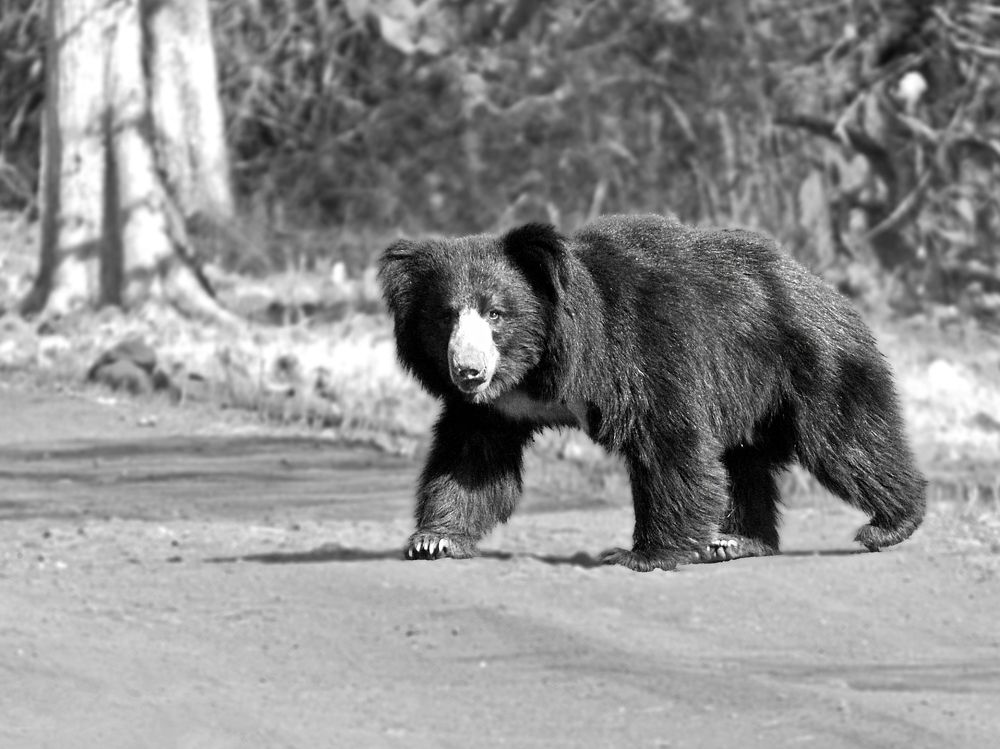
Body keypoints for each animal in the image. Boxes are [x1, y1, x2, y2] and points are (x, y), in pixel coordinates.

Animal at [377, 214, 926, 571]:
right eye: (445, 317)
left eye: (495, 314)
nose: (468, 372)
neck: (536, 369)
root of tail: (823, 288)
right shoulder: (499, 408)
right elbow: (473, 459)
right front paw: (434, 540)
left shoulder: (639, 351)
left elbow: (667, 441)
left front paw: (642, 555)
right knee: (742, 461)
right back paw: (735, 540)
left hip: (810, 365)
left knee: (846, 440)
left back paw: (889, 523)